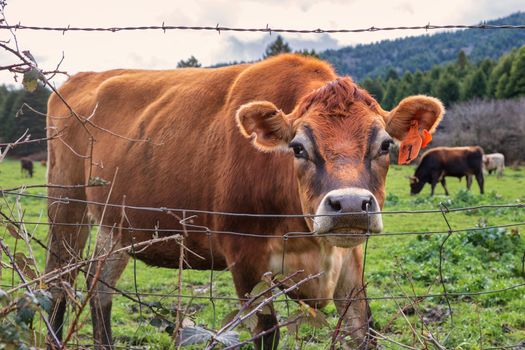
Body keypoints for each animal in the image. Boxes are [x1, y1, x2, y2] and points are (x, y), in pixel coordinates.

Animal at [45, 54, 442, 350]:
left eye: (385, 145)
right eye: (298, 147)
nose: (348, 205)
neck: (307, 241)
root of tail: (84, 77)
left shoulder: (351, 261)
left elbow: (363, 329)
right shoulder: (245, 259)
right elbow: (267, 333)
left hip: (116, 225)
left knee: (99, 288)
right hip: (66, 204)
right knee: (57, 283)